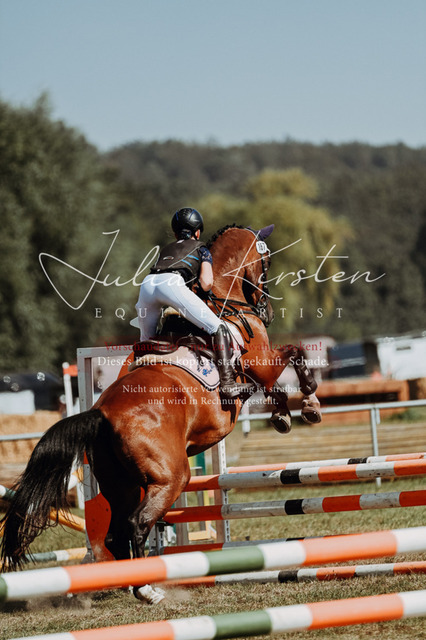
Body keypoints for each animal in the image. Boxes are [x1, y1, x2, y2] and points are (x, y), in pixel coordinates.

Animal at [0, 224, 320, 575]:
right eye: (267, 262)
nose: (268, 311)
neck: (225, 296)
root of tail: (102, 413)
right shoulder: (262, 363)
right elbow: (294, 353)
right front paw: (308, 403)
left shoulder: (258, 372)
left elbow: (275, 386)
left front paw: (282, 415)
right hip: (171, 477)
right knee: (137, 524)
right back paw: (148, 581)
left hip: (120, 482)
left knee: (115, 534)